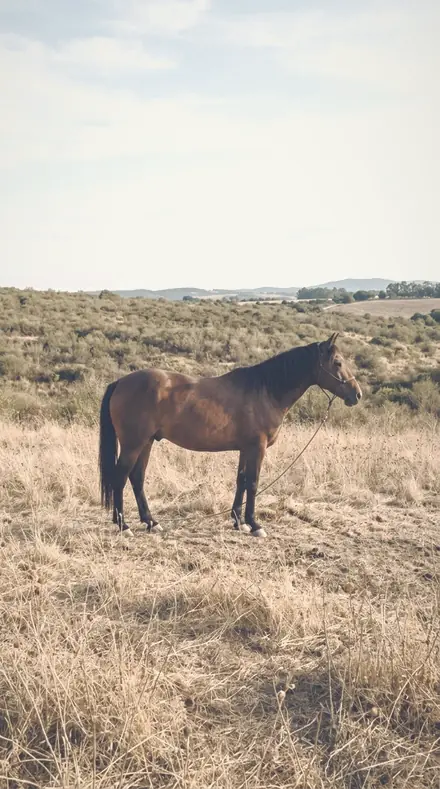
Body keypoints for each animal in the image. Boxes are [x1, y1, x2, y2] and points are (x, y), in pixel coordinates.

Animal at [99, 332, 361, 538]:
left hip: (146, 443)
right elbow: (253, 483)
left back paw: (151, 522)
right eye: (337, 362)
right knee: (120, 477)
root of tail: (121, 382)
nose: (357, 394)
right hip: (133, 444)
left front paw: (239, 522)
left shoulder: (246, 448)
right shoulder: (257, 447)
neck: (266, 390)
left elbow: (241, 481)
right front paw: (255, 525)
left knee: (137, 478)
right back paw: (124, 525)